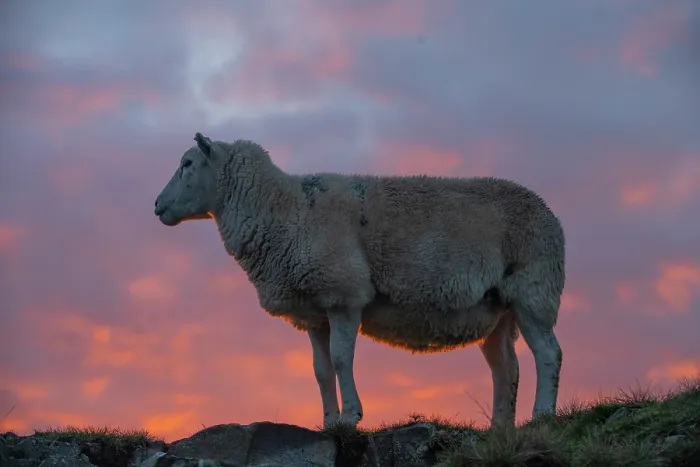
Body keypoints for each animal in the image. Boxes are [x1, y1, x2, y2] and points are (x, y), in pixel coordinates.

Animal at [154, 132, 566, 430]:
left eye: (187, 163)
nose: (157, 206)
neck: (284, 210)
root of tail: (549, 212)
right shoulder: (314, 312)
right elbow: (320, 371)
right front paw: (328, 422)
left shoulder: (343, 294)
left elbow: (341, 358)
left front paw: (351, 416)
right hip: (498, 308)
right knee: (505, 367)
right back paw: (500, 428)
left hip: (534, 289)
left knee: (548, 353)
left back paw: (543, 415)